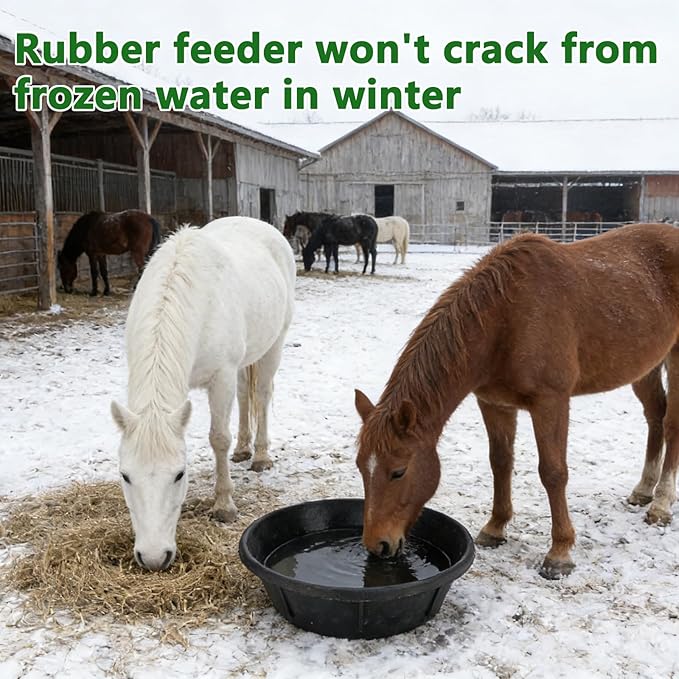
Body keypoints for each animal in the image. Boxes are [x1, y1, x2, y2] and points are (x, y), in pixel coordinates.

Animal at [110, 216, 295, 571]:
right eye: (125, 476)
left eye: (179, 475)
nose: (153, 558)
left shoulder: (221, 377)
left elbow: (218, 438)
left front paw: (224, 504)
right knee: (246, 394)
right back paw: (243, 449)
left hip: (274, 345)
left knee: (262, 395)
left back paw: (260, 456)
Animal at [354, 223, 679, 580]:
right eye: (360, 467)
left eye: (398, 472)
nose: (378, 545)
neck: (506, 318)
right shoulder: (494, 404)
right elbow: (500, 462)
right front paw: (495, 528)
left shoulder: (551, 402)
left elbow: (553, 472)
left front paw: (559, 553)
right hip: (646, 366)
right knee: (655, 415)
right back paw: (643, 490)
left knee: (671, 424)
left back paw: (661, 503)